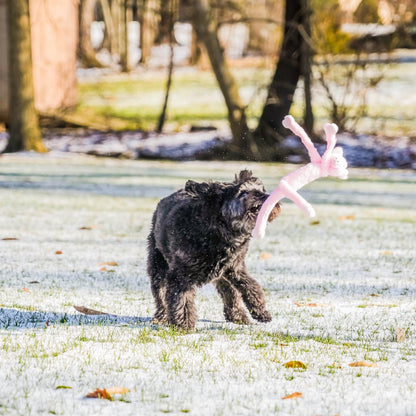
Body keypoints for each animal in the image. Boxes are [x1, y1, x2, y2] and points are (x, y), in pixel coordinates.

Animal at [146, 171, 280, 330]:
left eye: (262, 189)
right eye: (243, 192)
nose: (268, 197)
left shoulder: (235, 268)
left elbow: (250, 286)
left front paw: (261, 312)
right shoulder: (179, 275)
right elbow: (181, 300)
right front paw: (184, 324)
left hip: (221, 276)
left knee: (230, 294)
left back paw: (238, 316)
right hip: (158, 268)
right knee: (160, 294)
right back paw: (161, 317)